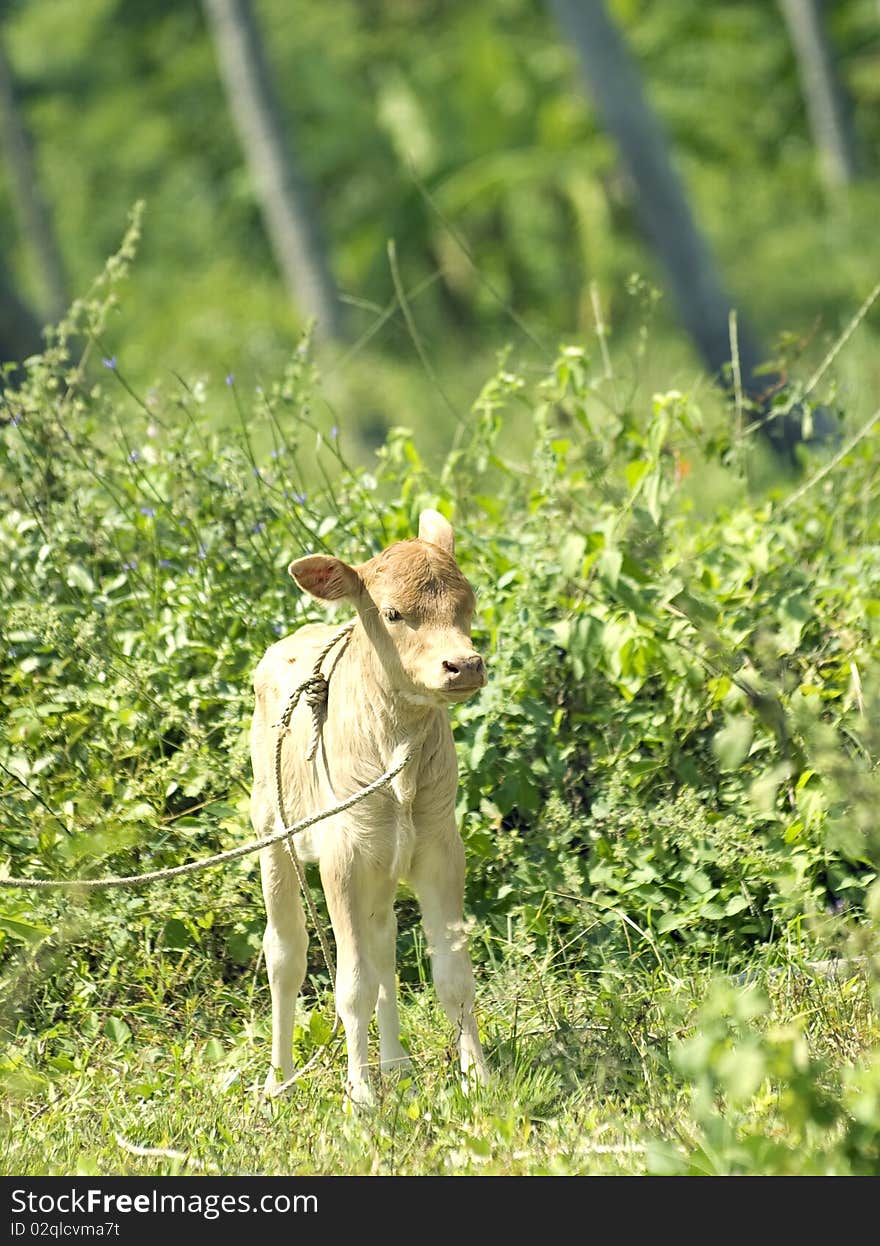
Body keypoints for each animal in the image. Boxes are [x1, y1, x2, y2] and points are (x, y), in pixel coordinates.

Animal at [248, 505, 486, 1101]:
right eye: (394, 613)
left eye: (467, 604)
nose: (465, 665)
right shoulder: (343, 857)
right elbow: (349, 985)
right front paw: (361, 1096)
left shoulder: (440, 848)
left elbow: (452, 975)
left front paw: (478, 1078)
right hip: (273, 833)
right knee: (285, 953)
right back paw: (280, 1081)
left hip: (383, 860)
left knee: (382, 948)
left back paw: (396, 1066)